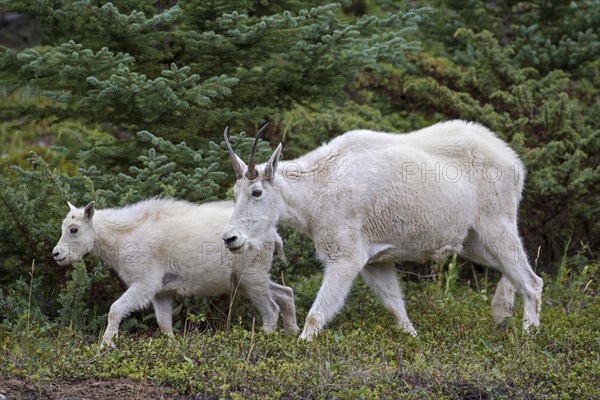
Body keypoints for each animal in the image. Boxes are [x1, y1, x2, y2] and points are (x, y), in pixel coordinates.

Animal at [52, 198, 298, 346]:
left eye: (73, 229)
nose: (56, 254)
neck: (122, 237)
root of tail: (274, 234)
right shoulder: (161, 292)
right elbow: (164, 323)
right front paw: (171, 346)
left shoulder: (145, 283)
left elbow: (115, 309)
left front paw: (106, 345)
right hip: (249, 280)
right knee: (285, 293)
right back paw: (293, 335)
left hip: (251, 276)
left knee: (271, 309)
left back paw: (267, 341)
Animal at [221, 120, 544, 340]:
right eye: (235, 193)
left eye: (257, 192)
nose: (230, 239)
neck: (316, 190)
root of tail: (514, 161)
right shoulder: (375, 261)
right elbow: (395, 306)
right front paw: (413, 338)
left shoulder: (346, 256)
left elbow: (318, 312)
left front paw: (302, 344)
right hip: (473, 241)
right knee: (513, 272)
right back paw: (501, 312)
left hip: (497, 223)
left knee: (531, 280)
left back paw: (528, 334)